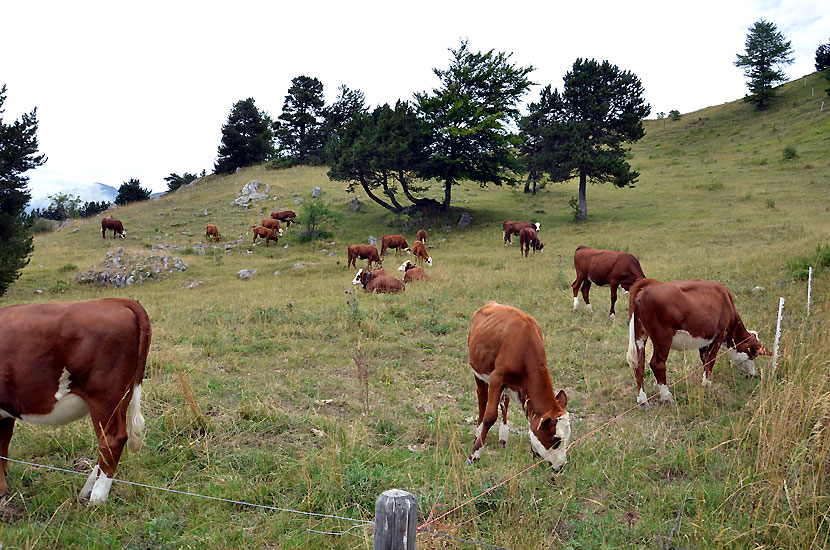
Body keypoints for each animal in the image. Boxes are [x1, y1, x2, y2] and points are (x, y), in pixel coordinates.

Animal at [0, 300, 151, 506]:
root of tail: (116, 301)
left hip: (103, 396)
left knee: (112, 440)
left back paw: (97, 499)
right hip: (122, 397)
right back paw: (87, 490)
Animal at [464, 304, 576, 472]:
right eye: (555, 439)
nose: (561, 465)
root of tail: (491, 304)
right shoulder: (497, 377)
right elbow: (490, 417)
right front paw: (475, 455)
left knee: (504, 402)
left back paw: (503, 437)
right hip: (479, 372)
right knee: (482, 398)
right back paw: (478, 433)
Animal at [628, 280, 776, 410]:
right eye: (753, 355)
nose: (752, 374)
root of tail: (648, 284)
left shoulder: (705, 340)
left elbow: (705, 360)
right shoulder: (719, 333)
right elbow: (711, 360)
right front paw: (707, 385)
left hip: (640, 335)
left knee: (639, 364)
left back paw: (643, 401)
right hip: (663, 337)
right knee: (657, 364)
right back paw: (667, 397)